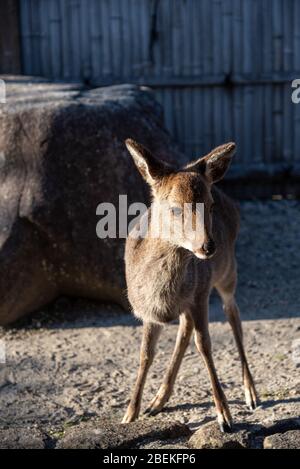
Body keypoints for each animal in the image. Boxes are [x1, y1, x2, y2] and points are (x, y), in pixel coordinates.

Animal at [122, 139, 258, 432]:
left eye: (209, 204)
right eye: (174, 208)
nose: (208, 246)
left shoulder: (200, 294)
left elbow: (204, 344)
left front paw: (225, 417)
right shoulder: (148, 311)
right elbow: (145, 354)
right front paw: (130, 414)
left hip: (228, 272)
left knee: (233, 315)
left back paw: (251, 393)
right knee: (185, 328)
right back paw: (157, 401)